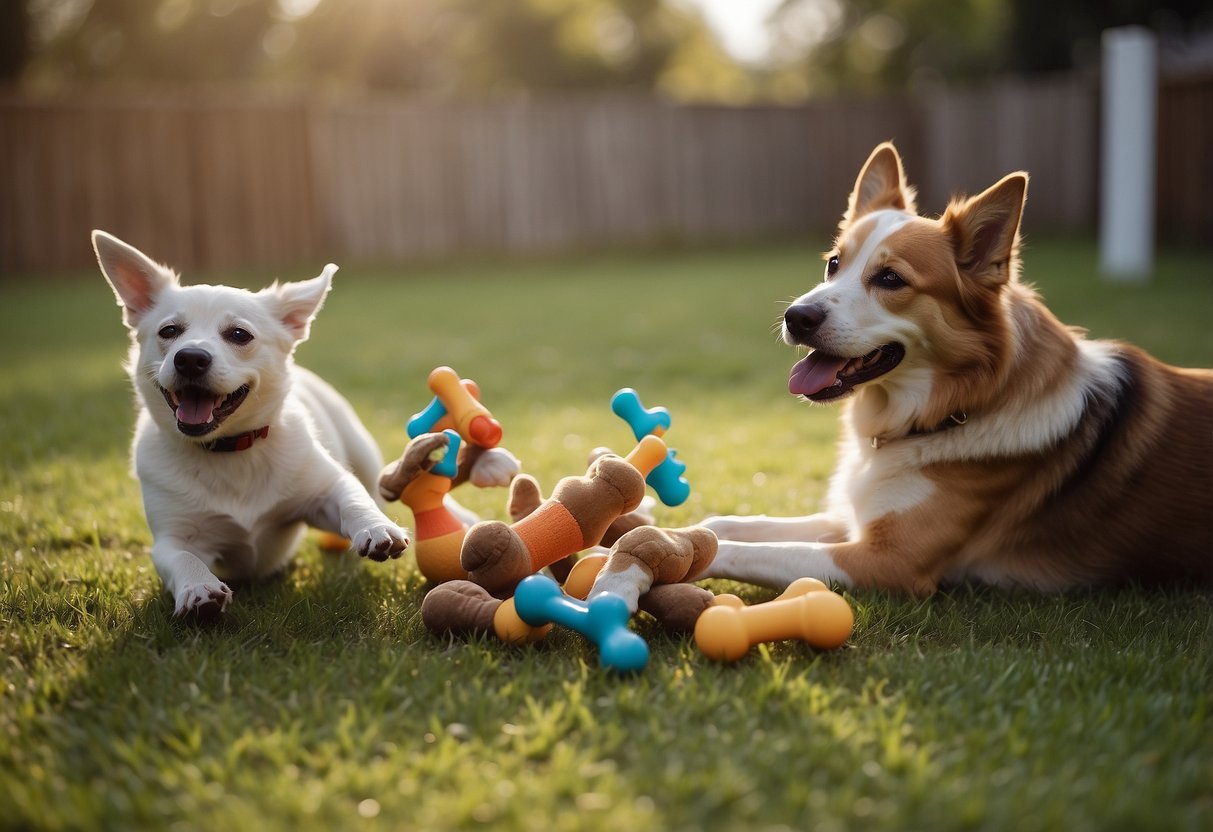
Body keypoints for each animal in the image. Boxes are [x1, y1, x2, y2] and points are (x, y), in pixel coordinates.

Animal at [89, 229, 412, 618]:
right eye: (169, 331)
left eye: (239, 335)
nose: (190, 358)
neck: (230, 449)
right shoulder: (171, 539)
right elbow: (181, 557)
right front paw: (198, 587)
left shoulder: (324, 491)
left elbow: (352, 498)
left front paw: (376, 529)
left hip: (365, 456)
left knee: (376, 490)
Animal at [698, 141, 1213, 594]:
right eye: (834, 264)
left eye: (890, 278)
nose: (796, 317)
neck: (950, 409)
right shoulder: (852, 518)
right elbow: (727, 523)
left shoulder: (888, 561)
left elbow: (733, 548)